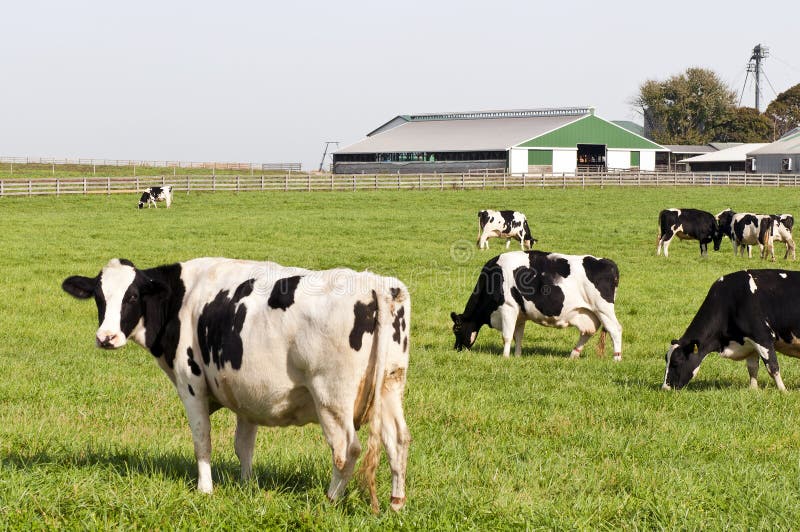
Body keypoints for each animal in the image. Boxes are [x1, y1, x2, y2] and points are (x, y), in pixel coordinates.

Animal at [61, 258, 412, 512]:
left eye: (132, 296)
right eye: (99, 297)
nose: (106, 337)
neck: (181, 299)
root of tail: (375, 284)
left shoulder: (191, 384)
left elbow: (202, 440)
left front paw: (205, 489)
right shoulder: (248, 393)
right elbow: (243, 445)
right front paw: (246, 486)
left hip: (332, 398)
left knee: (346, 450)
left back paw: (330, 500)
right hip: (390, 387)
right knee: (398, 441)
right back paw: (396, 503)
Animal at [450, 250, 624, 360]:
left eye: (456, 329)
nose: (456, 349)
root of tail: (608, 262)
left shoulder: (508, 307)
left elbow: (507, 336)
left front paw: (505, 357)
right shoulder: (520, 314)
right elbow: (518, 336)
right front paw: (517, 356)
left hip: (603, 309)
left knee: (615, 330)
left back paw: (617, 358)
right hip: (588, 312)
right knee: (587, 332)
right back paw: (573, 355)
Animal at [660, 270, 800, 390]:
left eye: (676, 362)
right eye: (666, 360)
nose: (665, 388)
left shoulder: (762, 337)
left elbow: (773, 367)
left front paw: (783, 391)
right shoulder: (750, 342)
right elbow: (752, 368)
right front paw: (753, 390)